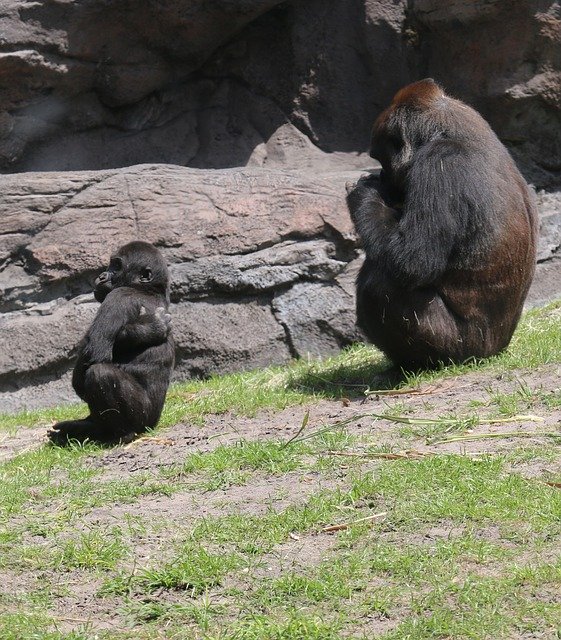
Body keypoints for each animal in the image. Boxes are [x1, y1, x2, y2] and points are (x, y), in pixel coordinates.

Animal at [49, 241, 174, 444]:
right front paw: (154, 326)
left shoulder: (118, 297)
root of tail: (155, 422)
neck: (149, 290)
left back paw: (124, 433)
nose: (101, 276)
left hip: (145, 419)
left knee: (100, 374)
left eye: (116, 266)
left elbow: (95, 353)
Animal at [348, 80, 536, 370]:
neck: (446, 128)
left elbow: (411, 262)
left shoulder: (438, 163)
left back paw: (417, 364)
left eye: (382, 160)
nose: (382, 176)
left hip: (466, 350)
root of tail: (497, 350)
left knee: (378, 284)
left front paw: (364, 195)